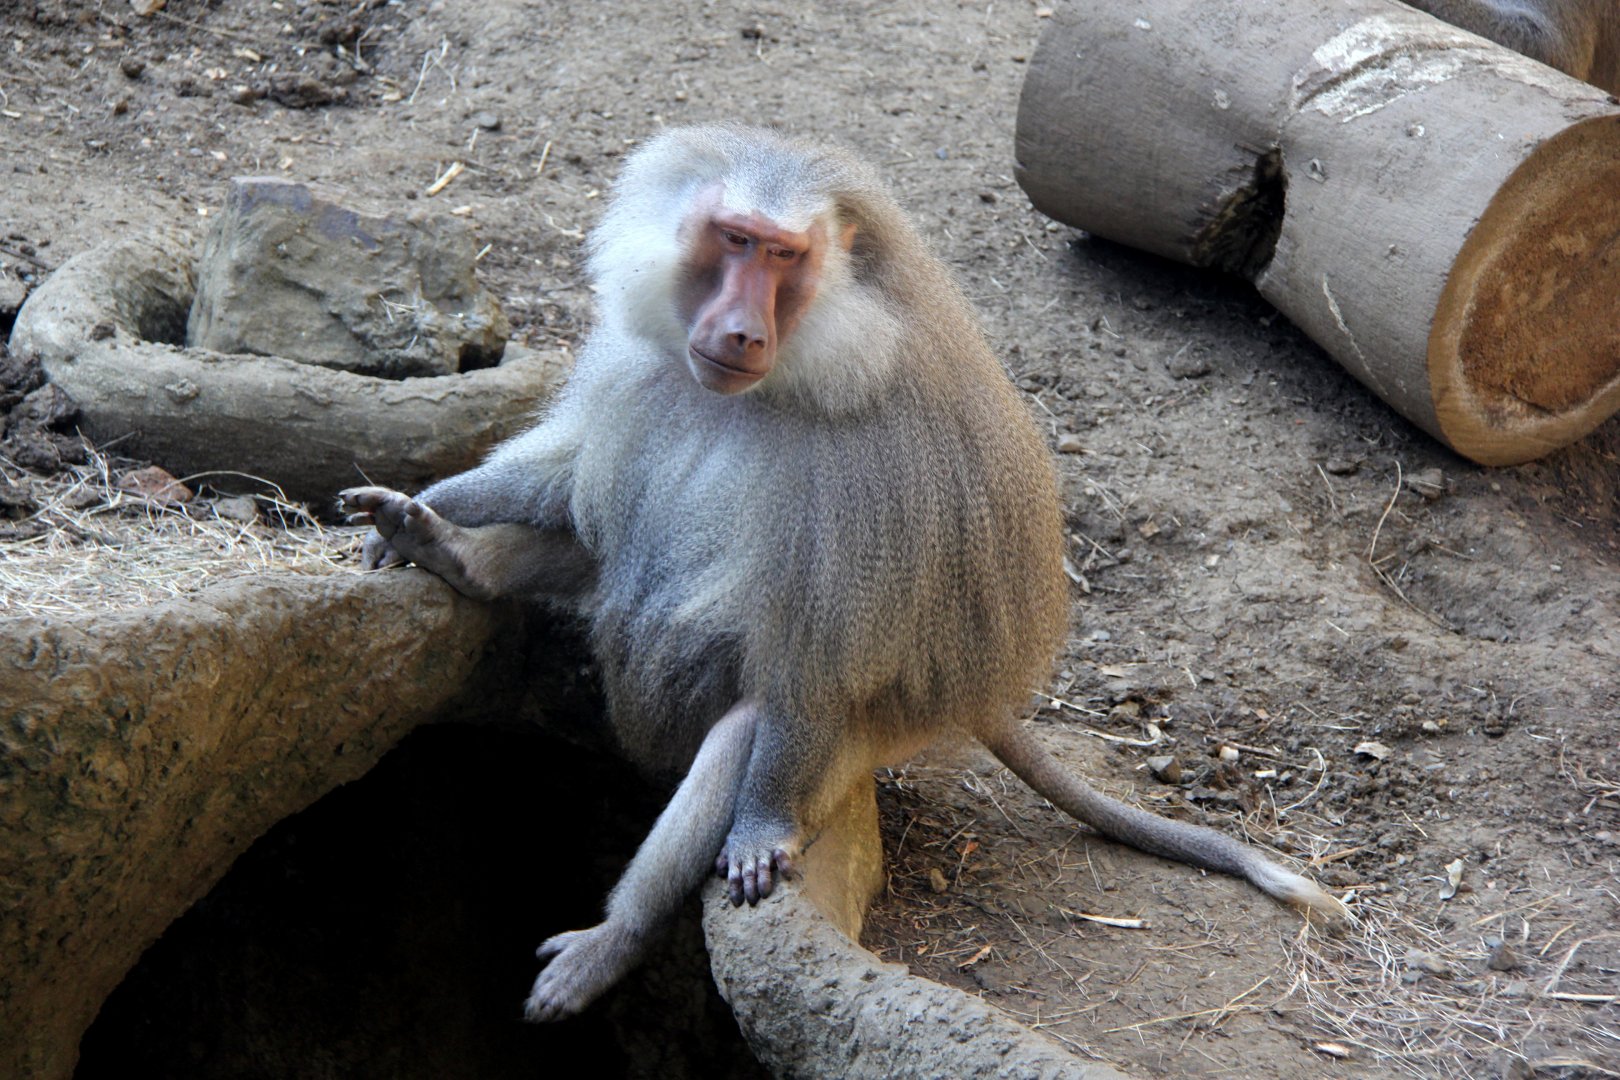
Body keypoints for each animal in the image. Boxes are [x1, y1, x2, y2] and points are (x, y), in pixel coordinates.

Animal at [341, 124, 1347, 1023]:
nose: (740, 333)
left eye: (788, 257)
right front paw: (432, 504)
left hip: (874, 735)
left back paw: (612, 941)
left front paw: (755, 835)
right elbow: (572, 475)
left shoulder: (867, 477)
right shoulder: (644, 372)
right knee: (606, 538)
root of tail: (968, 697)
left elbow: (815, 661)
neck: (780, 379)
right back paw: (452, 552)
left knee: (749, 724)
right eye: (735, 240)